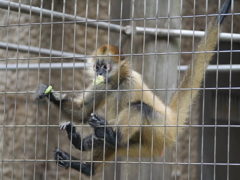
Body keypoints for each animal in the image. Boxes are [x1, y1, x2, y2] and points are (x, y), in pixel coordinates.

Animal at [34, 0, 232, 176]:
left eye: (105, 66)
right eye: (97, 67)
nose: (100, 72)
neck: (117, 84)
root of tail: (171, 116)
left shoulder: (129, 84)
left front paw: (102, 136)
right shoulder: (103, 85)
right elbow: (83, 112)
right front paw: (50, 94)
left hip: (160, 130)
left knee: (138, 111)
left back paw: (109, 139)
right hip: (144, 147)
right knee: (117, 142)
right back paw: (86, 163)